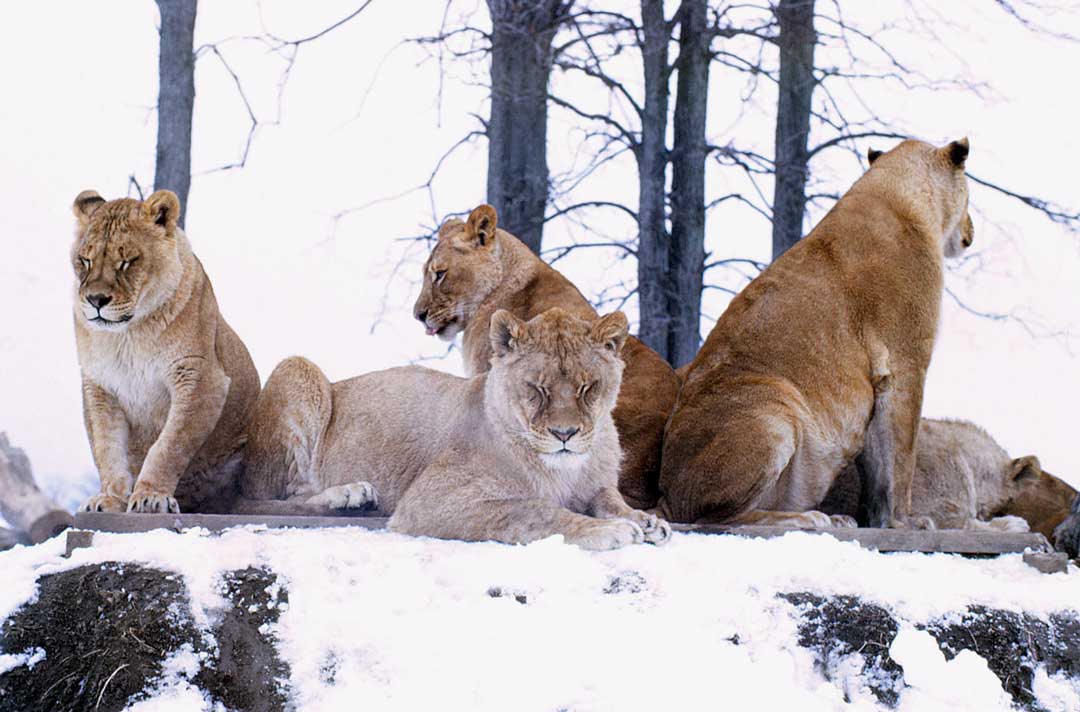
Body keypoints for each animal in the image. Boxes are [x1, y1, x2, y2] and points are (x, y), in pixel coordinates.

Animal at [71, 190, 260, 514]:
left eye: (128, 262)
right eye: (85, 260)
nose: (96, 300)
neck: (128, 336)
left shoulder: (201, 378)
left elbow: (170, 446)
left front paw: (150, 496)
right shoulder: (99, 387)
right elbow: (108, 448)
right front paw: (109, 498)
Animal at [239, 308, 671, 550]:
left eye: (587, 387)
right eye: (537, 388)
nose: (564, 434)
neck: (568, 469)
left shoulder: (596, 485)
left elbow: (609, 497)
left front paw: (644, 520)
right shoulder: (430, 500)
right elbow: (532, 509)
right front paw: (610, 530)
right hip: (298, 368)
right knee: (269, 498)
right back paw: (350, 496)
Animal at [660, 138, 975, 528]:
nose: (971, 232)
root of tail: (665, 497)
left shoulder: (878, 383)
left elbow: (877, 468)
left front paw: (879, 521)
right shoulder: (906, 363)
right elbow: (901, 458)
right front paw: (905, 522)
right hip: (775, 409)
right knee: (717, 519)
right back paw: (807, 519)